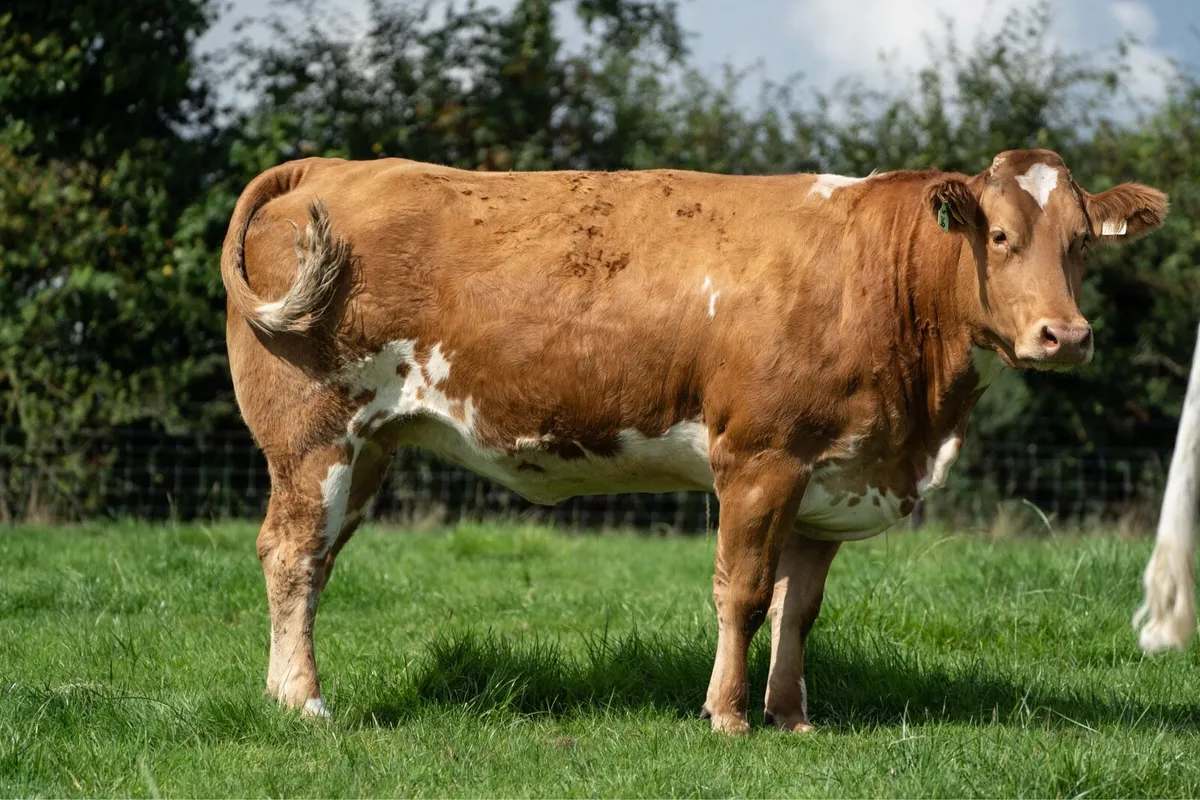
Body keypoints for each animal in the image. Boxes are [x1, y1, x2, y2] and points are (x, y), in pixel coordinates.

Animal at [221, 149, 1168, 734]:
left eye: (1081, 244)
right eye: (1000, 237)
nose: (1064, 335)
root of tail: (336, 166)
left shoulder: (832, 480)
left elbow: (798, 609)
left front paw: (793, 716)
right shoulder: (759, 459)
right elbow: (742, 594)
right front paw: (729, 715)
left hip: (372, 445)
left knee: (313, 560)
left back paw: (278, 688)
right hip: (313, 434)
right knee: (292, 553)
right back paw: (304, 701)